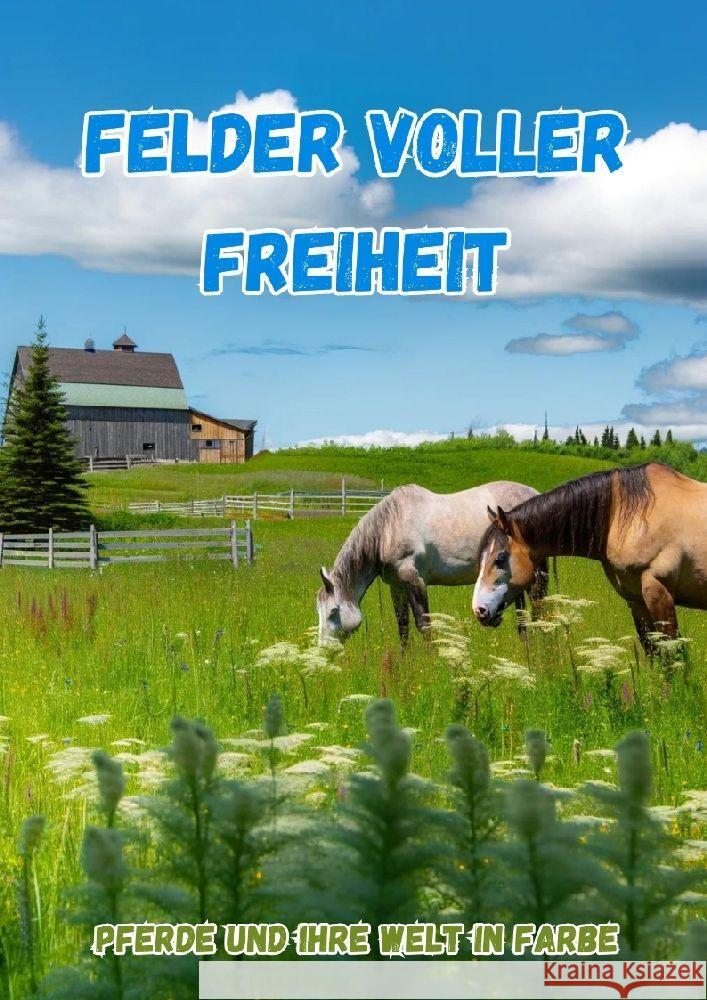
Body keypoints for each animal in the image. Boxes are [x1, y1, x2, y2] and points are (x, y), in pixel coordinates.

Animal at [317, 481, 549, 644]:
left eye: (332, 611)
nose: (323, 650)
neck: (389, 529)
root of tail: (534, 493)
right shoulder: (397, 586)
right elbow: (403, 627)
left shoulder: (415, 580)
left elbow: (424, 624)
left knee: (539, 606)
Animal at [472, 462, 707, 652]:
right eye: (480, 557)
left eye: (500, 557)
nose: (479, 610)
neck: (629, 517)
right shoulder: (635, 599)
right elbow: (652, 651)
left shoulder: (659, 593)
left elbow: (672, 656)